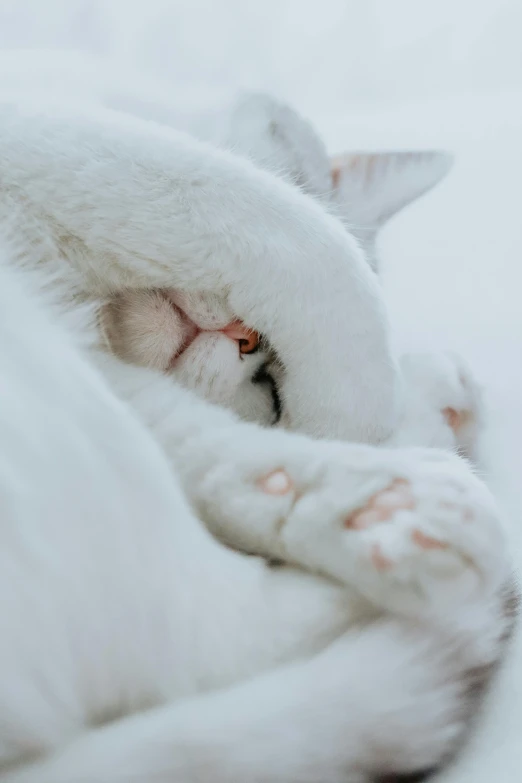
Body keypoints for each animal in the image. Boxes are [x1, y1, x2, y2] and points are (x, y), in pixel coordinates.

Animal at [0, 70, 512, 780]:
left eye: (269, 388)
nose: (248, 335)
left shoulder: (109, 372)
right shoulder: (52, 130)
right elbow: (309, 251)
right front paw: (355, 406)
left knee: (219, 630)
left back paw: (403, 497)